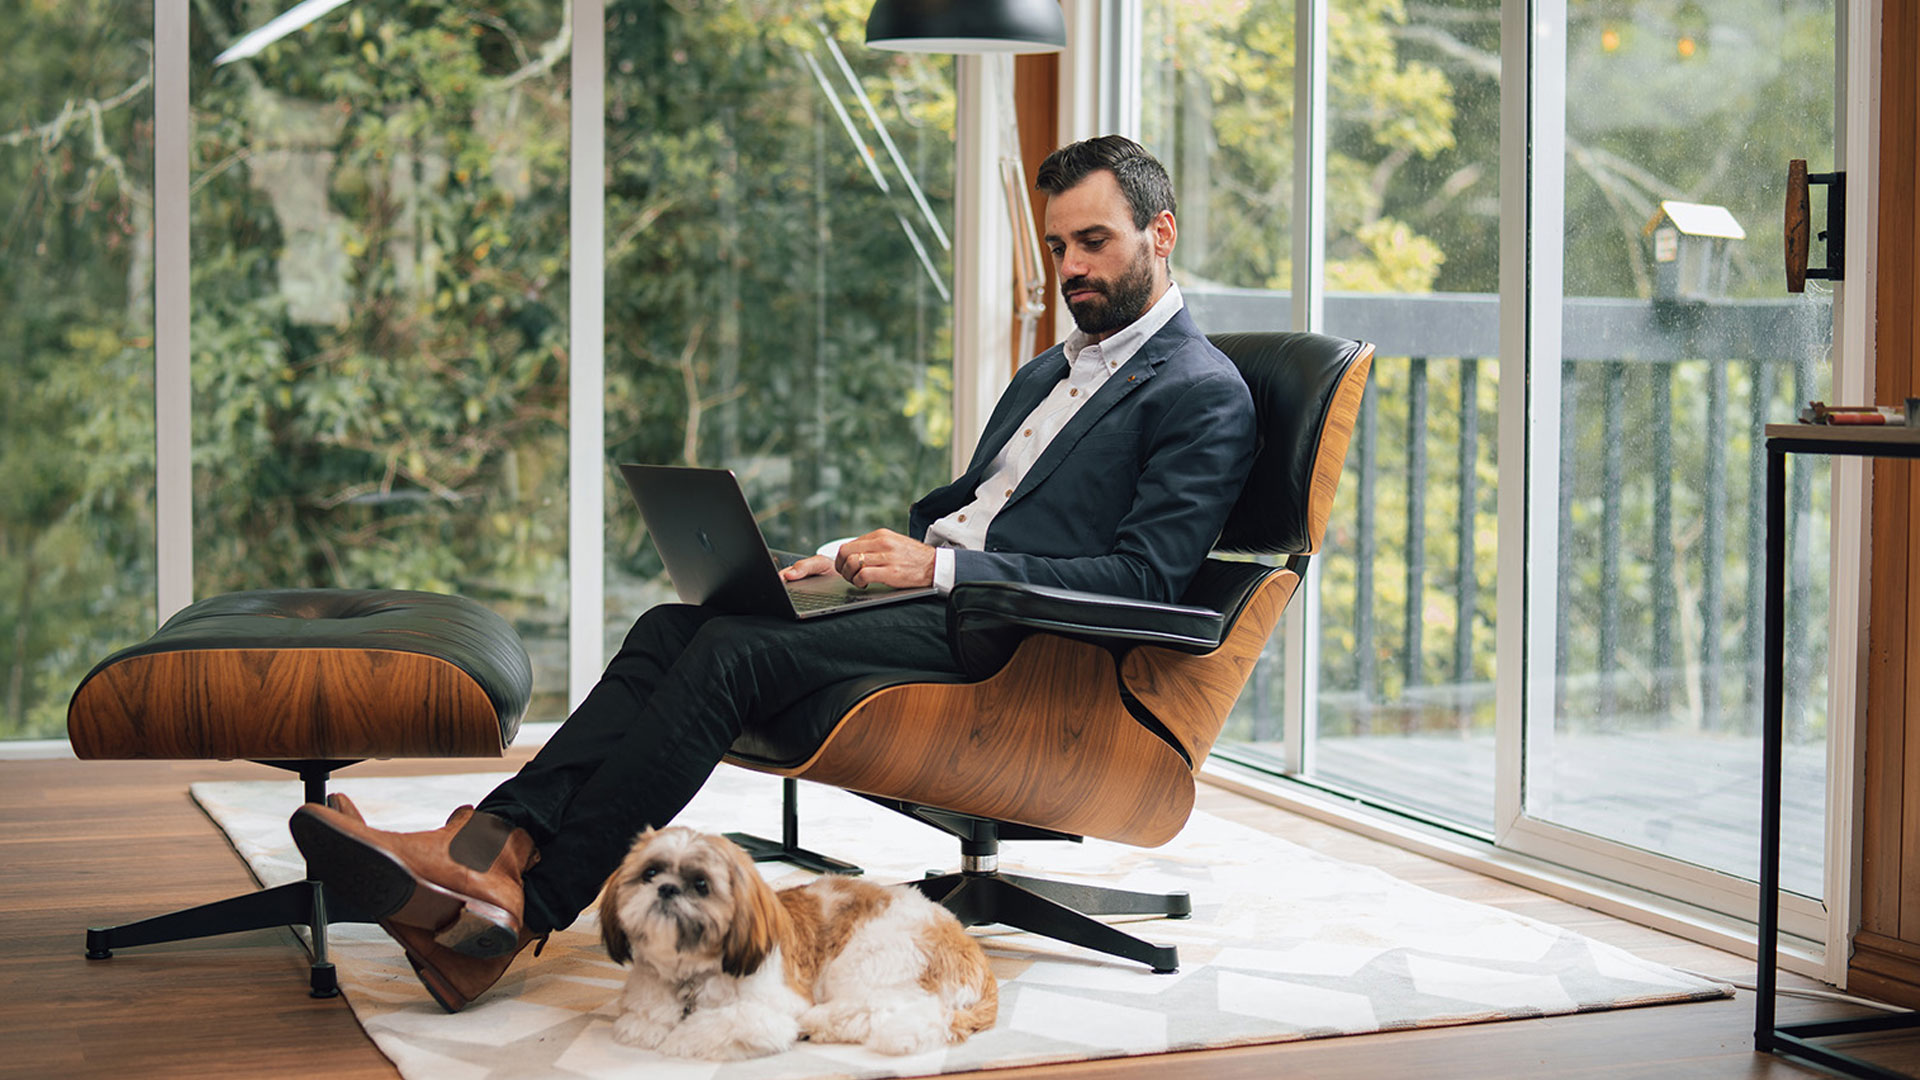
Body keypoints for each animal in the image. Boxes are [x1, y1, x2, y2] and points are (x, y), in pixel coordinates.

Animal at [599, 822, 998, 1053]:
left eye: (701, 884)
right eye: (650, 873)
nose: (666, 889)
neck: (694, 974)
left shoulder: (773, 1005)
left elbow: (726, 1020)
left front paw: (685, 1038)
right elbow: (641, 1020)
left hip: (870, 960)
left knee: (875, 1011)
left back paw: (816, 1024)